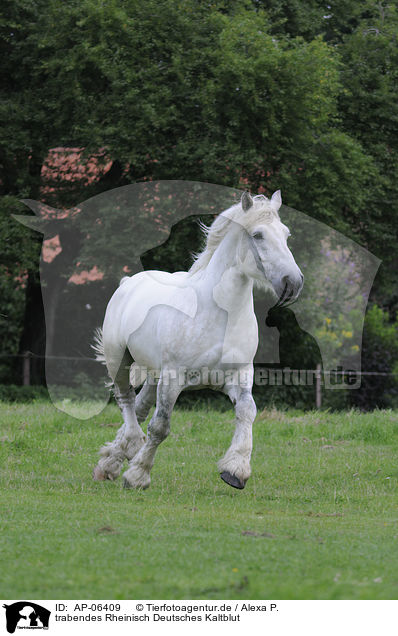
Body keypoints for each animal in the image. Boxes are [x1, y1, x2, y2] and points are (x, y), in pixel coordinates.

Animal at [93, 191, 304, 490]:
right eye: (258, 235)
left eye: (286, 234)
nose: (293, 283)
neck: (220, 314)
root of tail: (127, 282)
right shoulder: (173, 379)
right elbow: (160, 427)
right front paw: (138, 475)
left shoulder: (239, 375)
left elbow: (247, 412)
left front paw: (236, 470)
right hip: (119, 360)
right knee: (127, 400)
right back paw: (130, 448)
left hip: (154, 374)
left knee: (140, 406)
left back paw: (111, 461)